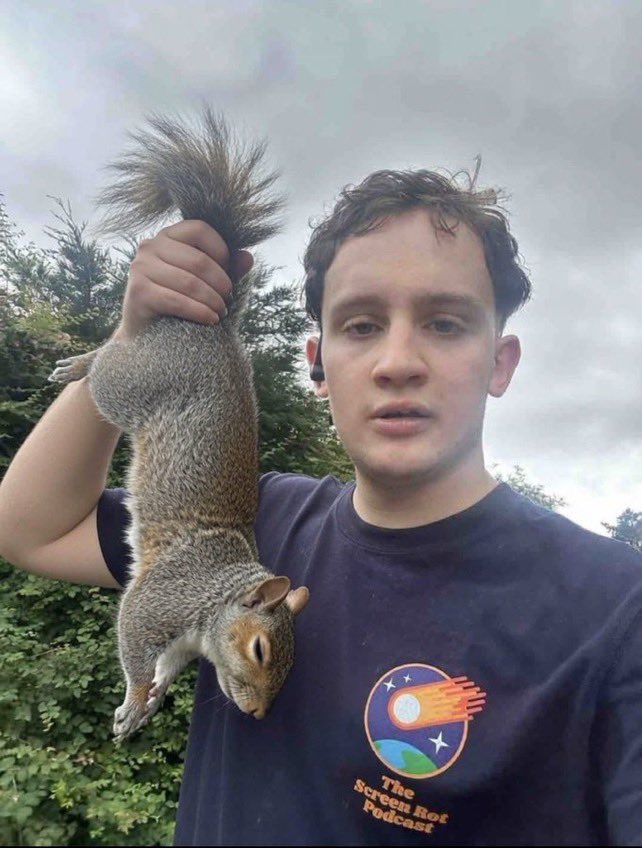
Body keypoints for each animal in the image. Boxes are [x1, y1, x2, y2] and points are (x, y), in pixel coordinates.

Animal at [48, 107, 310, 741]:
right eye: (261, 650)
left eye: (291, 668)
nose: (258, 713)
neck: (215, 595)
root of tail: (214, 329)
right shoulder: (161, 599)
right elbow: (135, 641)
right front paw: (136, 695)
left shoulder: (182, 642)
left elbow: (165, 665)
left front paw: (151, 698)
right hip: (130, 384)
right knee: (109, 360)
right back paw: (79, 363)